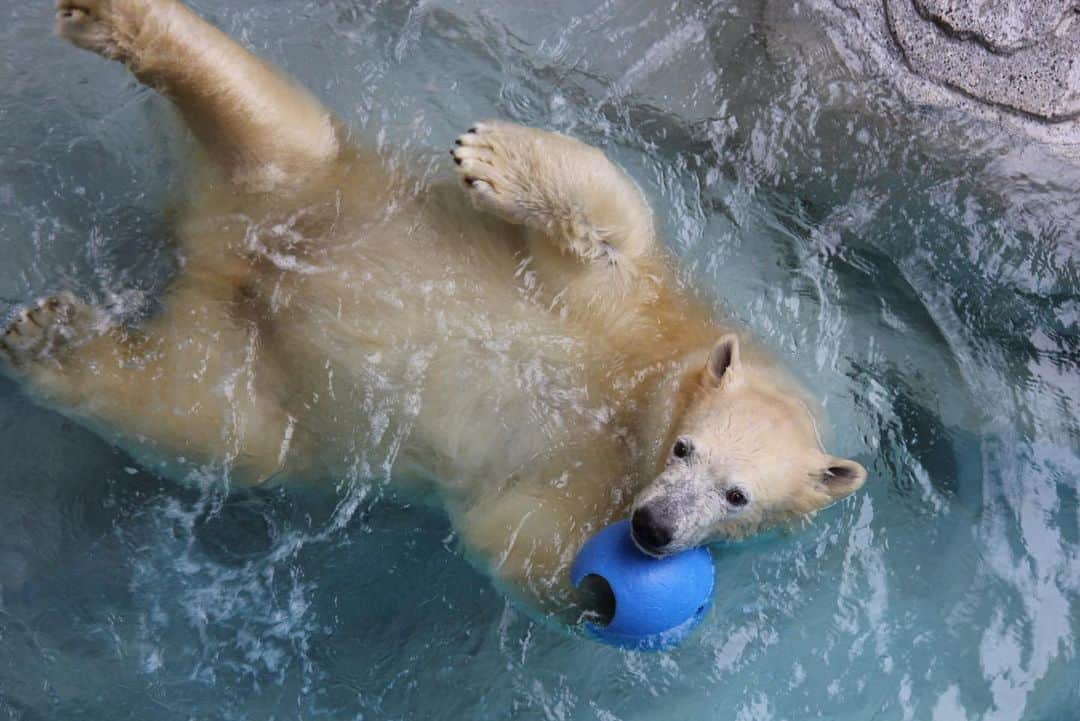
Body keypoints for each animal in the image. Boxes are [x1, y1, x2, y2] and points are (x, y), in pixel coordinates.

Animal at [0, 0, 864, 621]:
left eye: (737, 496)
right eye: (685, 448)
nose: (654, 529)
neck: (632, 400)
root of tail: (212, 246)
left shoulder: (575, 491)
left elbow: (514, 539)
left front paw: (603, 589)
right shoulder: (639, 300)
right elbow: (611, 211)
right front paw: (492, 158)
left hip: (258, 381)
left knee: (201, 416)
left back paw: (55, 341)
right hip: (316, 177)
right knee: (262, 109)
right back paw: (119, 17)